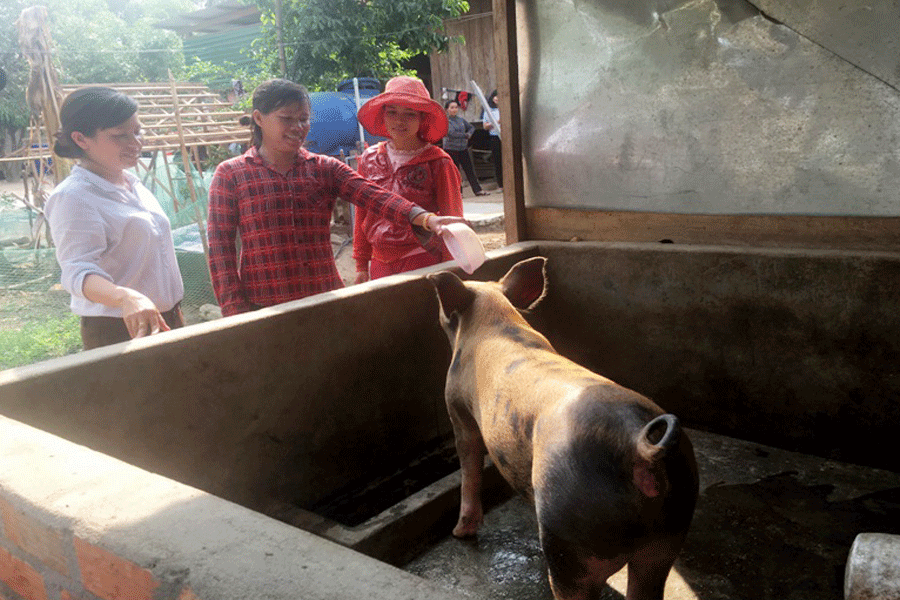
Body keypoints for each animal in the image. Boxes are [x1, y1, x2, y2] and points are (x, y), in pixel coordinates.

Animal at [428, 258, 696, 600]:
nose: (438, 315)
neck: (494, 319)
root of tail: (637, 442)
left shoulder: (459, 412)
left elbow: (469, 470)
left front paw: (459, 534)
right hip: (668, 535)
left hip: (570, 535)